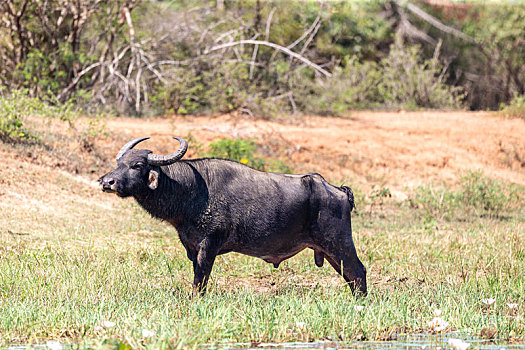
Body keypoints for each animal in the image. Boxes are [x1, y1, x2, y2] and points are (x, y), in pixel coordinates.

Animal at [100, 137, 366, 296]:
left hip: (339, 244)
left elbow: (201, 278)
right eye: (119, 162)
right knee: (350, 277)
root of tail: (338, 190)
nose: (106, 181)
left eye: (137, 165)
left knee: (359, 271)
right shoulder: (192, 247)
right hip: (329, 251)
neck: (191, 190)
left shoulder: (209, 245)